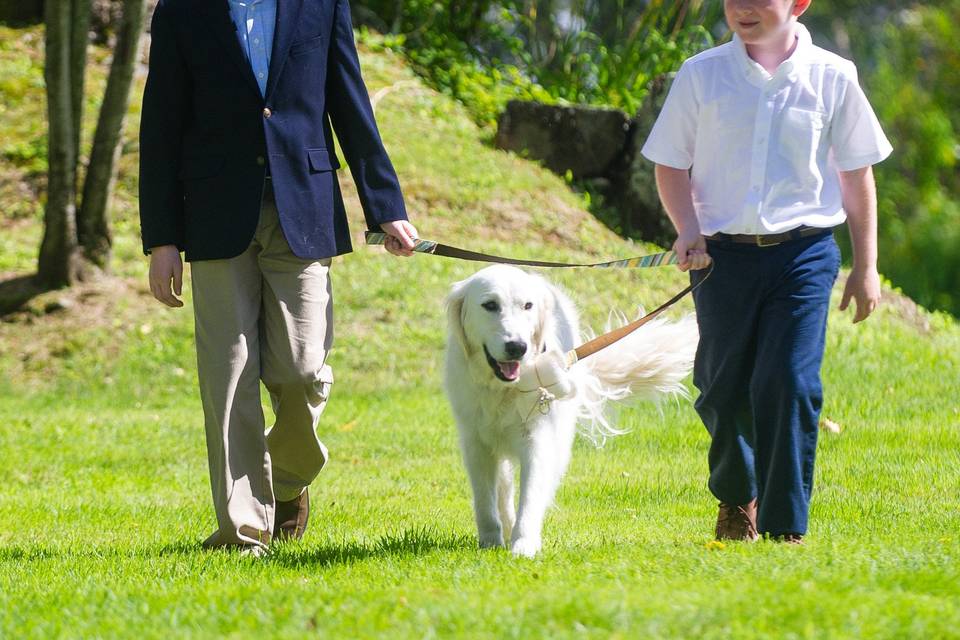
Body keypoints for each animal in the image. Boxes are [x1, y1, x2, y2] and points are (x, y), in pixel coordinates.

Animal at [442, 264, 696, 556]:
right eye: (490, 305)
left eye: (527, 305)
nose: (518, 347)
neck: (503, 390)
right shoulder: (476, 443)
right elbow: (485, 501)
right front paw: (491, 541)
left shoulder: (537, 438)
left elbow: (531, 494)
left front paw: (524, 545)